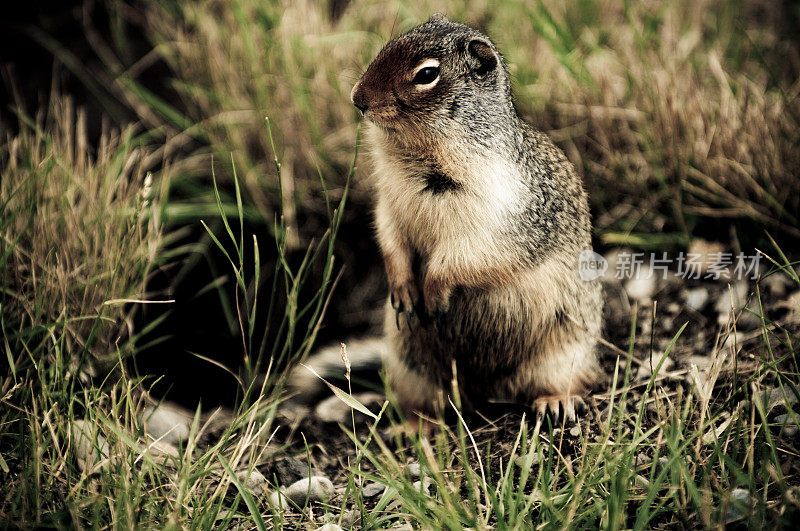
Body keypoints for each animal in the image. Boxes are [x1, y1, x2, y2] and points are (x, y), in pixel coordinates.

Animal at [294, 13, 600, 424]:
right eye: (388, 46)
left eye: (427, 74)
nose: (357, 99)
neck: (417, 158)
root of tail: (486, 392)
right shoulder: (388, 203)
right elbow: (390, 238)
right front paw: (404, 289)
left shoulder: (495, 222)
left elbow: (462, 260)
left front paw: (433, 292)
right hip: (412, 366)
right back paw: (415, 426)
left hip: (563, 353)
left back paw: (555, 401)